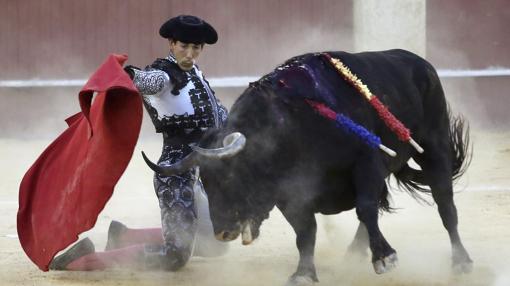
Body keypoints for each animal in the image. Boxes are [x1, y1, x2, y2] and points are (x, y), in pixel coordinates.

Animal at [141, 49, 472, 284]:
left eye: (233, 176)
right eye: (204, 183)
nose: (222, 232)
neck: (291, 126)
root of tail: (419, 62)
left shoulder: (366, 162)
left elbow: (365, 207)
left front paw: (385, 258)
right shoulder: (290, 194)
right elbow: (306, 231)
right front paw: (303, 273)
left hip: (435, 147)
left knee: (445, 206)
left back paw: (461, 261)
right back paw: (353, 255)